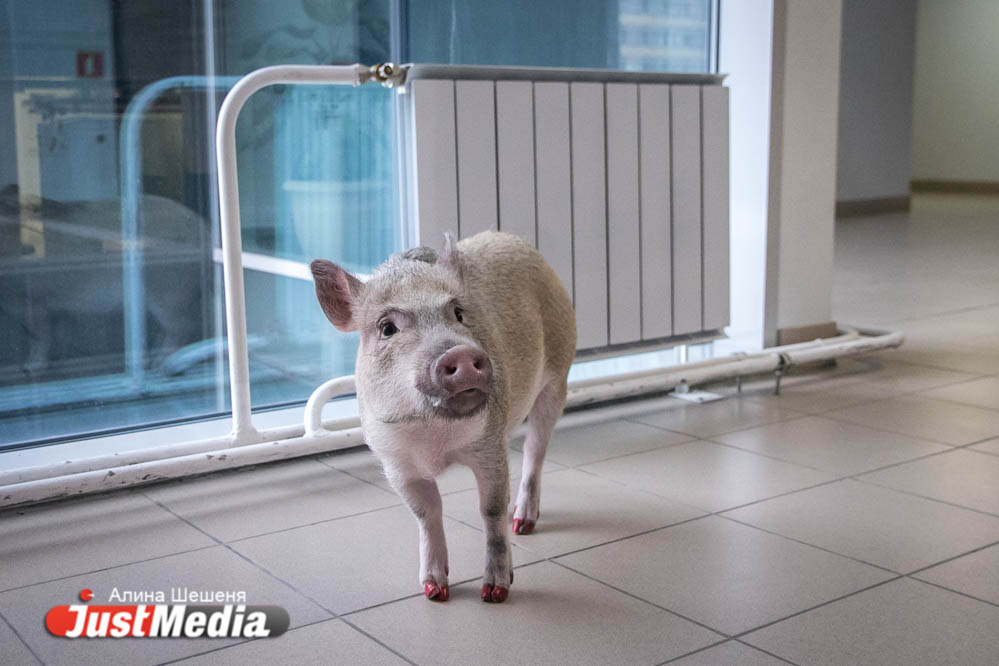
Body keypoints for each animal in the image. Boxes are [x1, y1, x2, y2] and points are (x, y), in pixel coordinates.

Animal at [310, 231, 576, 603]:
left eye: (459, 314)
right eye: (387, 328)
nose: (460, 352)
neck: (433, 437)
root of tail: (510, 237)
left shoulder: (489, 444)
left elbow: (492, 509)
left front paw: (495, 593)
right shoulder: (396, 462)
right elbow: (426, 512)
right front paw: (435, 592)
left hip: (558, 375)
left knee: (534, 451)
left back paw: (522, 524)